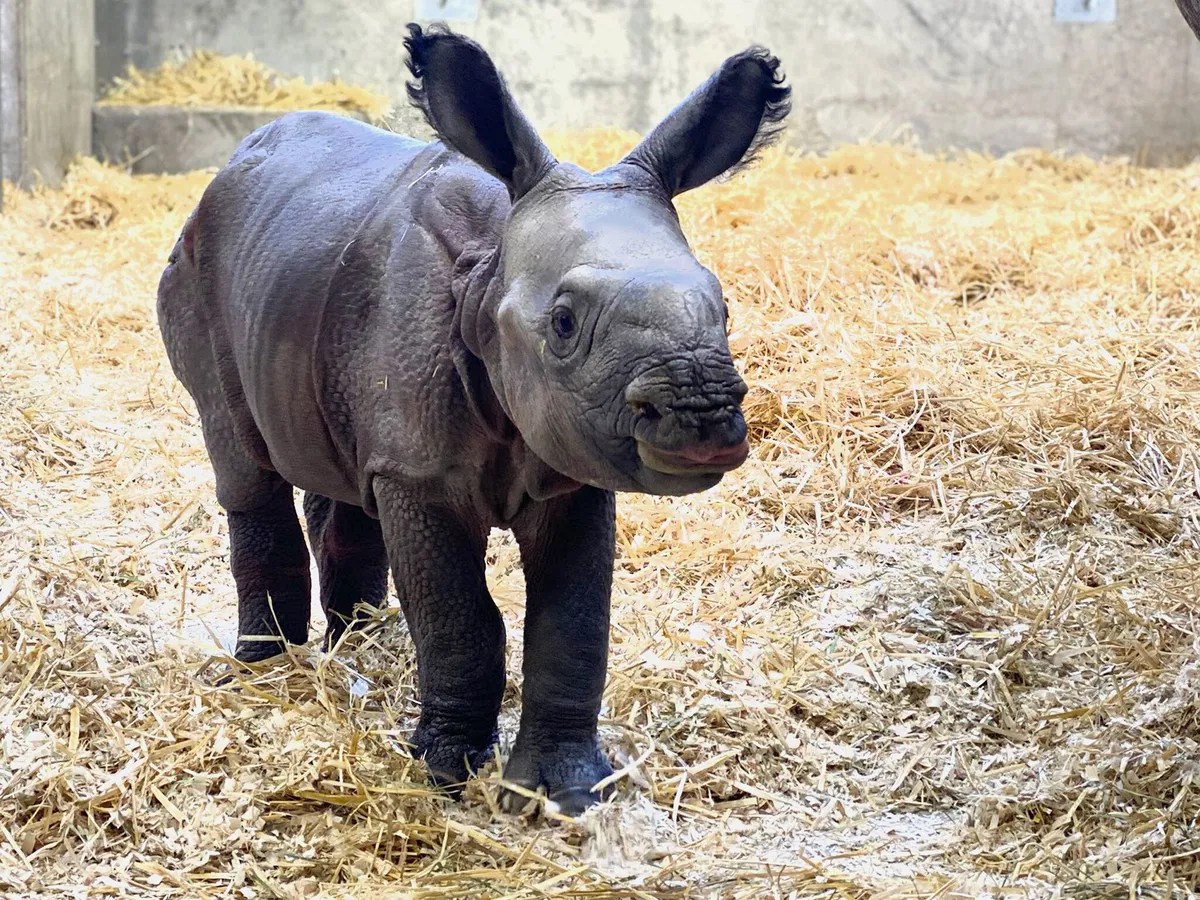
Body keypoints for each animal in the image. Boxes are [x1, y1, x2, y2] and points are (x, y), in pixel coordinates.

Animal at [157, 23, 789, 813]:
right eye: (563, 323)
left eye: (724, 307)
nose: (701, 416)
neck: (490, 274)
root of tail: (224, 171)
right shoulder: (419, 475)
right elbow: (460, 617)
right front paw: (446, 773)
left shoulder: (572, 469)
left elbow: (573, 625)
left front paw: (566, 791)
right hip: (193, 269)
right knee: (244, 465)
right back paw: (267, 670)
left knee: (341, 472)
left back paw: (356, 645)